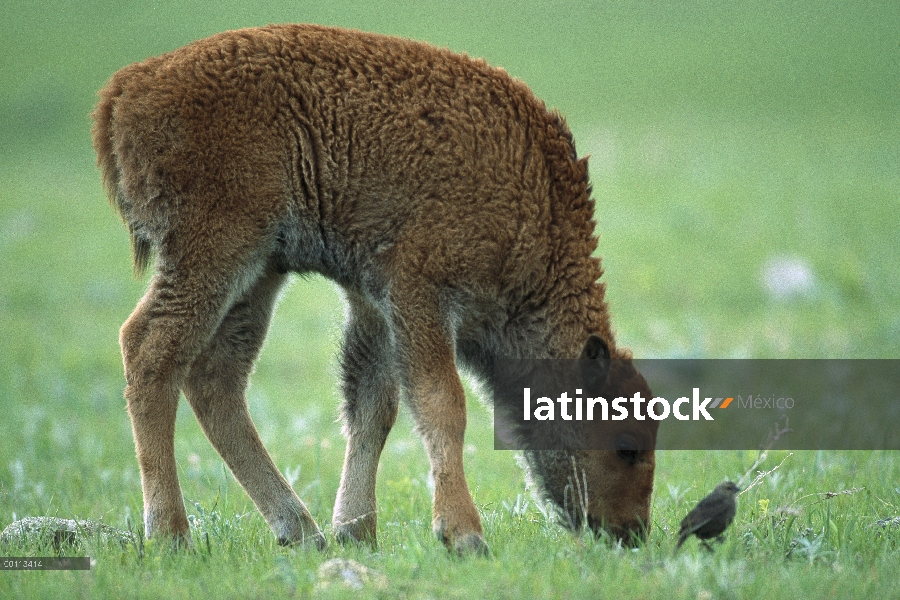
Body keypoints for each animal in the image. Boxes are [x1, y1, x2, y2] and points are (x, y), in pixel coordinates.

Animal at [93, 24, 652, 556]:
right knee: (150, 350)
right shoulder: (420, 291)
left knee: (215, 377)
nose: (632, 533)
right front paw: (463, 535)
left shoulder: (376, 306)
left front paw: (356, 532)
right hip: (214, 252)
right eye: (626, 445)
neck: (538, 206)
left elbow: (374, 407)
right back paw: (171, 534)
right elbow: (441, 403)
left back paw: (301, 530)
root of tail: (127, 87)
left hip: (260, 272)